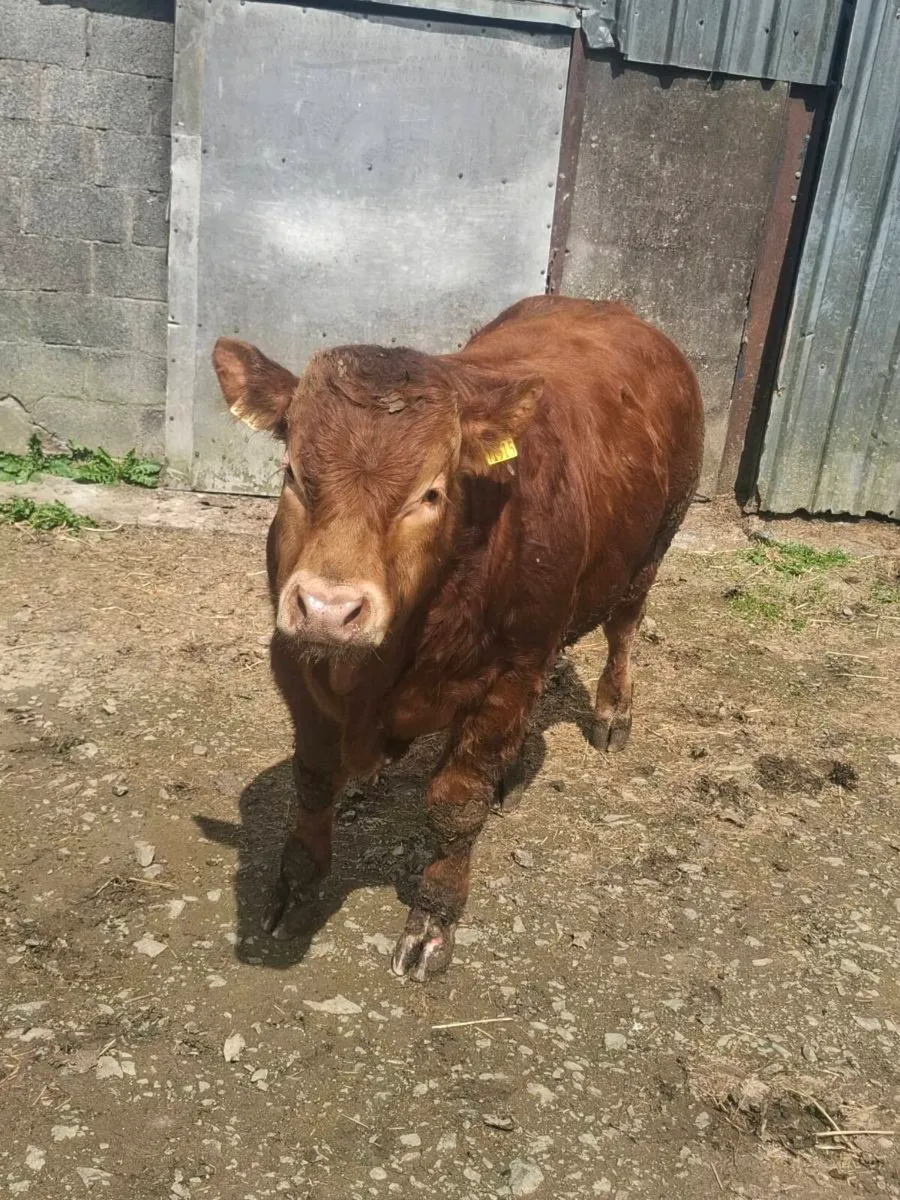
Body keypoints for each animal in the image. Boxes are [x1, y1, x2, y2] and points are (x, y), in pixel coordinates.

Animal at [213, 296, 704, 980]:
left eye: (431, 493)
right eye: (293, 475)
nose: (330, 609)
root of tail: (611, 308)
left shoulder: (506, 677)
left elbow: (455, 803)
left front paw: (433, 919)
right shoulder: (295, 664)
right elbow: (312, 780)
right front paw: (294, 887)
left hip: (653, 548)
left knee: (624, 630)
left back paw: (612, 713)